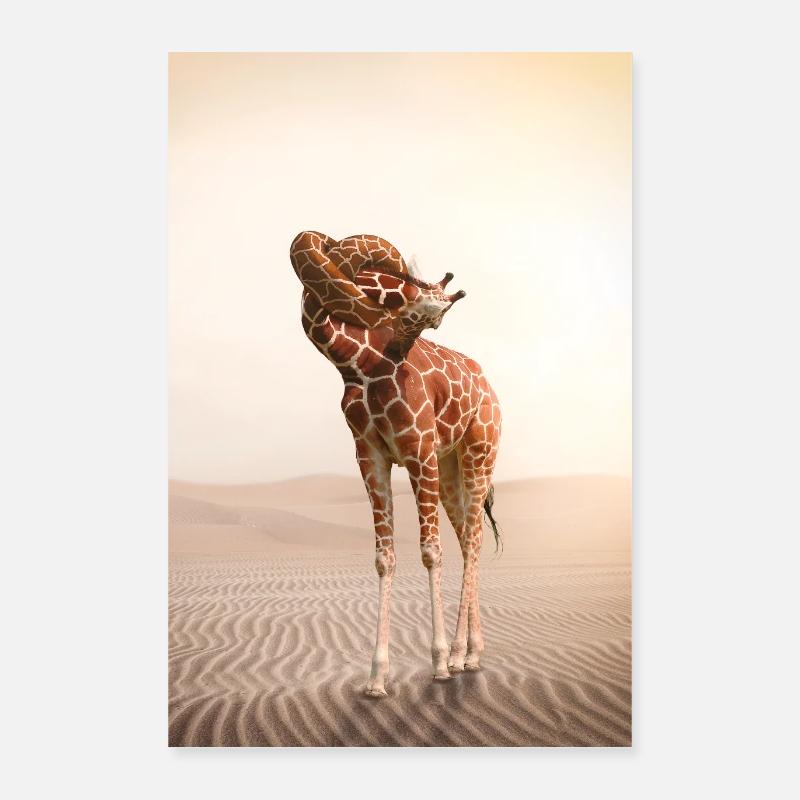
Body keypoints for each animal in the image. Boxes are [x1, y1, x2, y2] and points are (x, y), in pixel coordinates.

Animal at [289, 230, 502, 697]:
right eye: (410, 288)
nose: (402, 347)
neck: (360, 365)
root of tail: (490, 390)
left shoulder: (419, 449)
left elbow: (430, 551)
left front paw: (438, 663)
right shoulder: (370, 455)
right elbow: (384, 557)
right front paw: (376, 677)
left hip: (479, 453)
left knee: (475, 538)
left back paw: (460, 656)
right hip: (449, 468)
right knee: (468, 539)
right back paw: (472, 653)